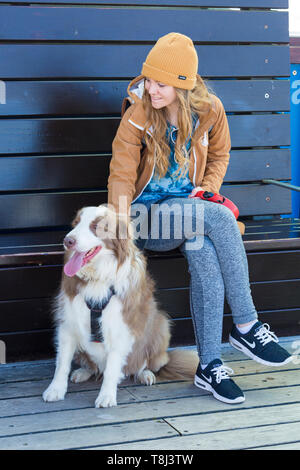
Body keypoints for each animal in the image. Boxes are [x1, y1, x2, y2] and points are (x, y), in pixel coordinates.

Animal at [42, 206, 197, 408]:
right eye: (75, 224)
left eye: (96, 226)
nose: (68, 241)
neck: (97, 278)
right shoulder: (68, 322)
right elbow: (61, 363)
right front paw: (55, 389)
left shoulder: (120, 327)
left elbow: (112, 368)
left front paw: (106, 396)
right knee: (93, 366)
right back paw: (83, 371)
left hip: (161, 326)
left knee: (143, 364)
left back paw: (146, 374)